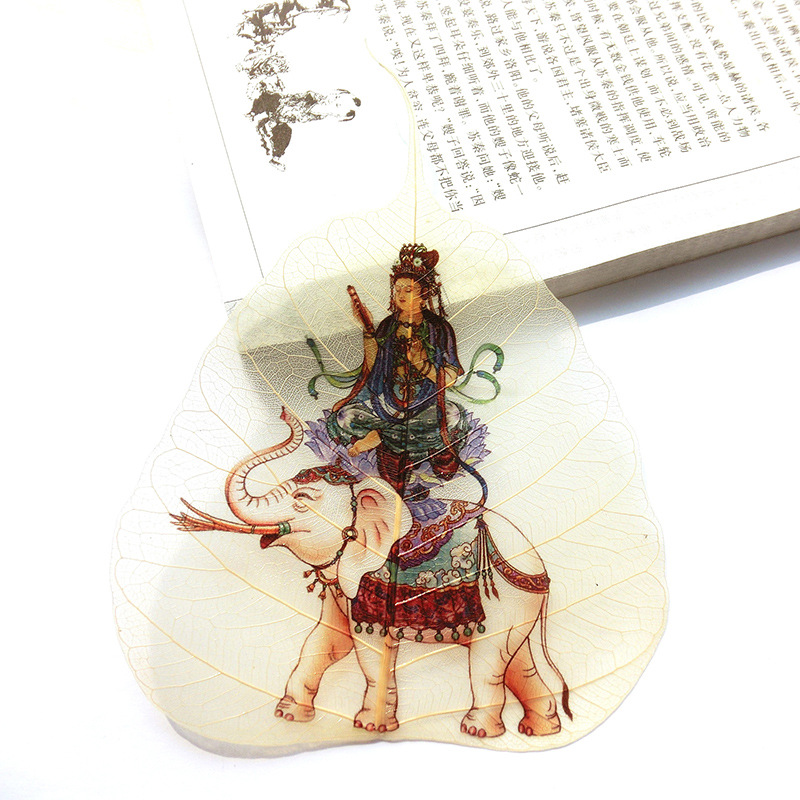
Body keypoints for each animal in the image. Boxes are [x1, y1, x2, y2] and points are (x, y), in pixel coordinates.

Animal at [173, 408, 571, 739]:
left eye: (302, 500)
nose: (286, 414)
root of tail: (536, 567)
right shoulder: (343, 584)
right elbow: (326, 640)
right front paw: (289, 715)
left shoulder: (374, 583)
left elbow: (368, 649)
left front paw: (370, 726)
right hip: (518, 606)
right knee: (517, 662)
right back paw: (541, 729)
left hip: (504, 600)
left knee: (488, 661)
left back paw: (478, 731)